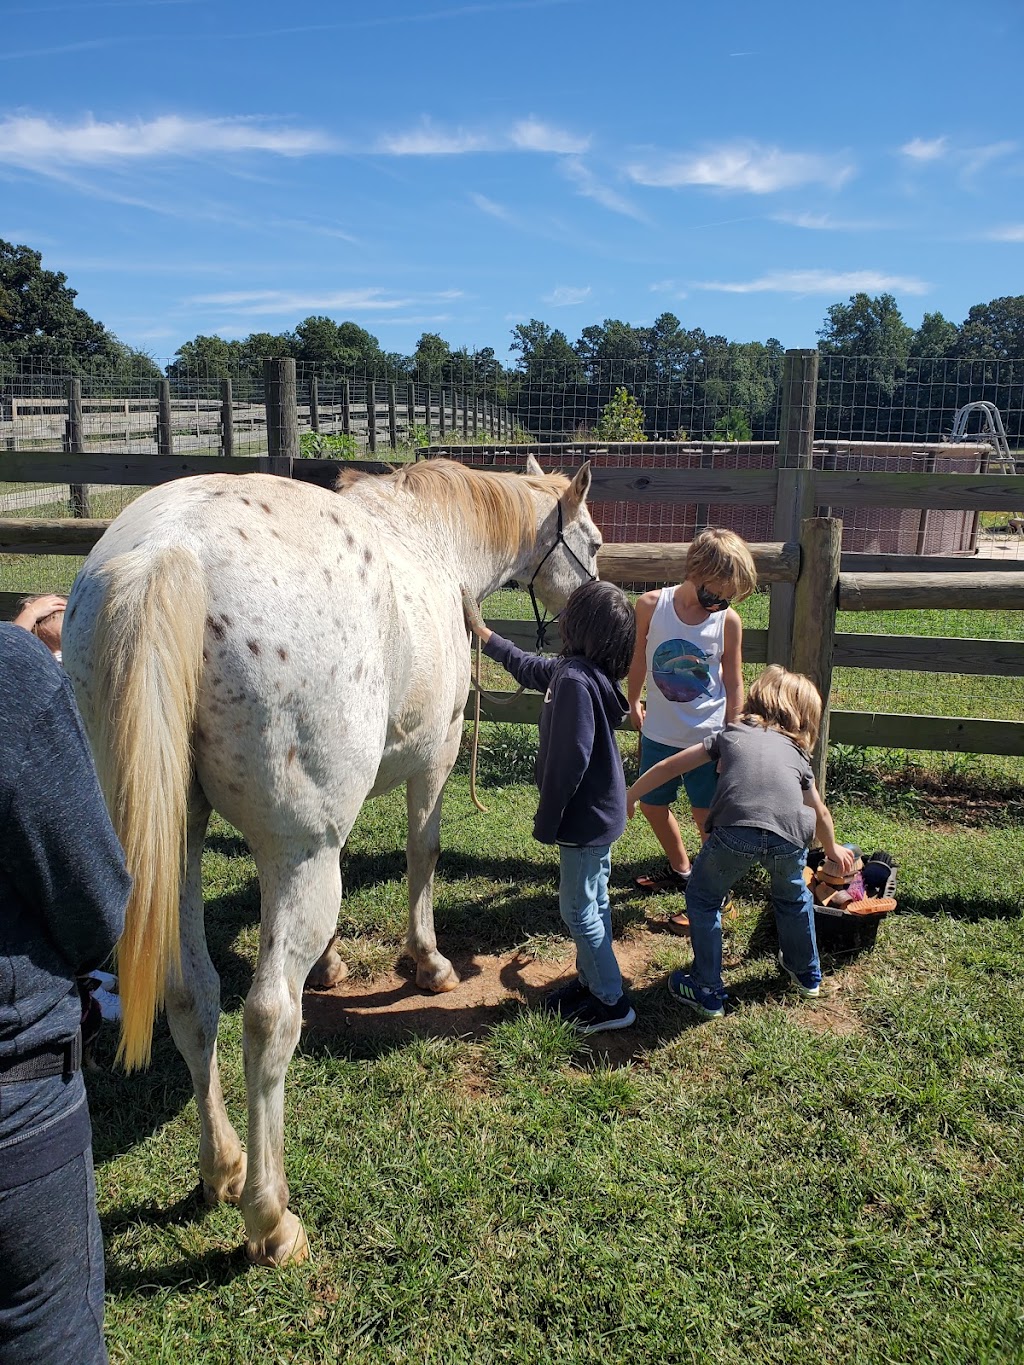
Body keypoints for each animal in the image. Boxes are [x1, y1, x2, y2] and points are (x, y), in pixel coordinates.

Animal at [60, 458, 598, 1266]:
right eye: (590, 542)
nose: (598, 600)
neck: (432, 537)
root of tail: (169, 552)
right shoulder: (432, 759)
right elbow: (422, 854)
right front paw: (427, 963)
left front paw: (334, 964)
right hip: (295, 854)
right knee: (267, 1018)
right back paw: (269, 1219)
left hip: (180, 841)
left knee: (191, 996)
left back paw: (221, 1169)